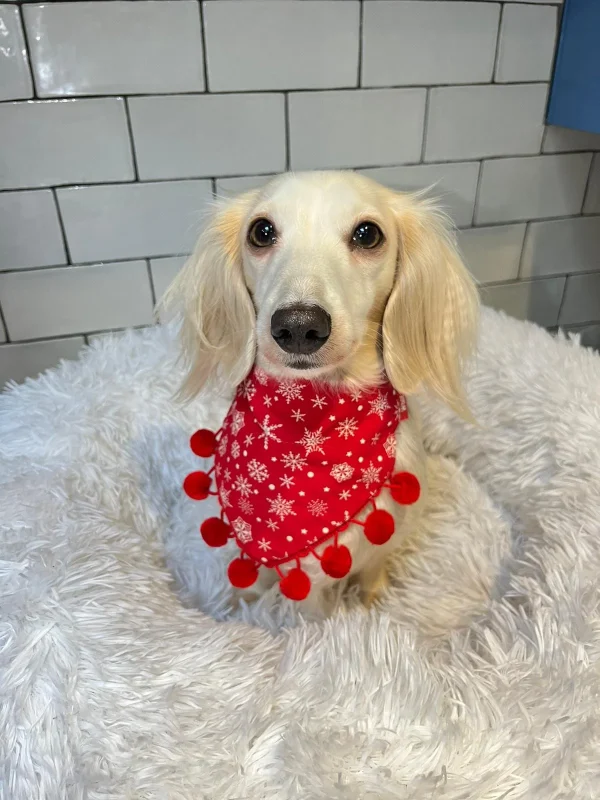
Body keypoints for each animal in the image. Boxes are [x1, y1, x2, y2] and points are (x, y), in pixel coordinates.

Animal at [163, 172, 478, 616]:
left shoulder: (386, 536)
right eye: (261, 231)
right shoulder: (305, 583)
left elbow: (373, 572)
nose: (298, 325)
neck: (311, 425)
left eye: (368, 234)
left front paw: (373, 608)